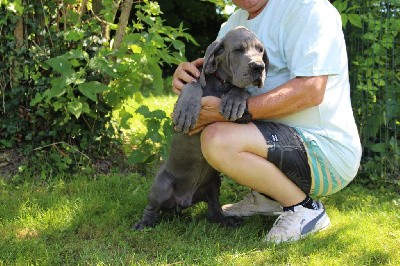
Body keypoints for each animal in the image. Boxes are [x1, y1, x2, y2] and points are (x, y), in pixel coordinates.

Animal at [133, 27, 268, 231]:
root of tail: (184, 200)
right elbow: (194, 83)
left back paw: (226, 220)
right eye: (238, 50)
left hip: (213, 184)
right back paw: (144, 223)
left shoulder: (243, 116)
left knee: (213, 210)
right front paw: (188, 108)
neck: (222, 84)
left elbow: (240, 91)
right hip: (161, 185)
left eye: (260, 50)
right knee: (152, 208)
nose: (259, 67)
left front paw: (234, 100)